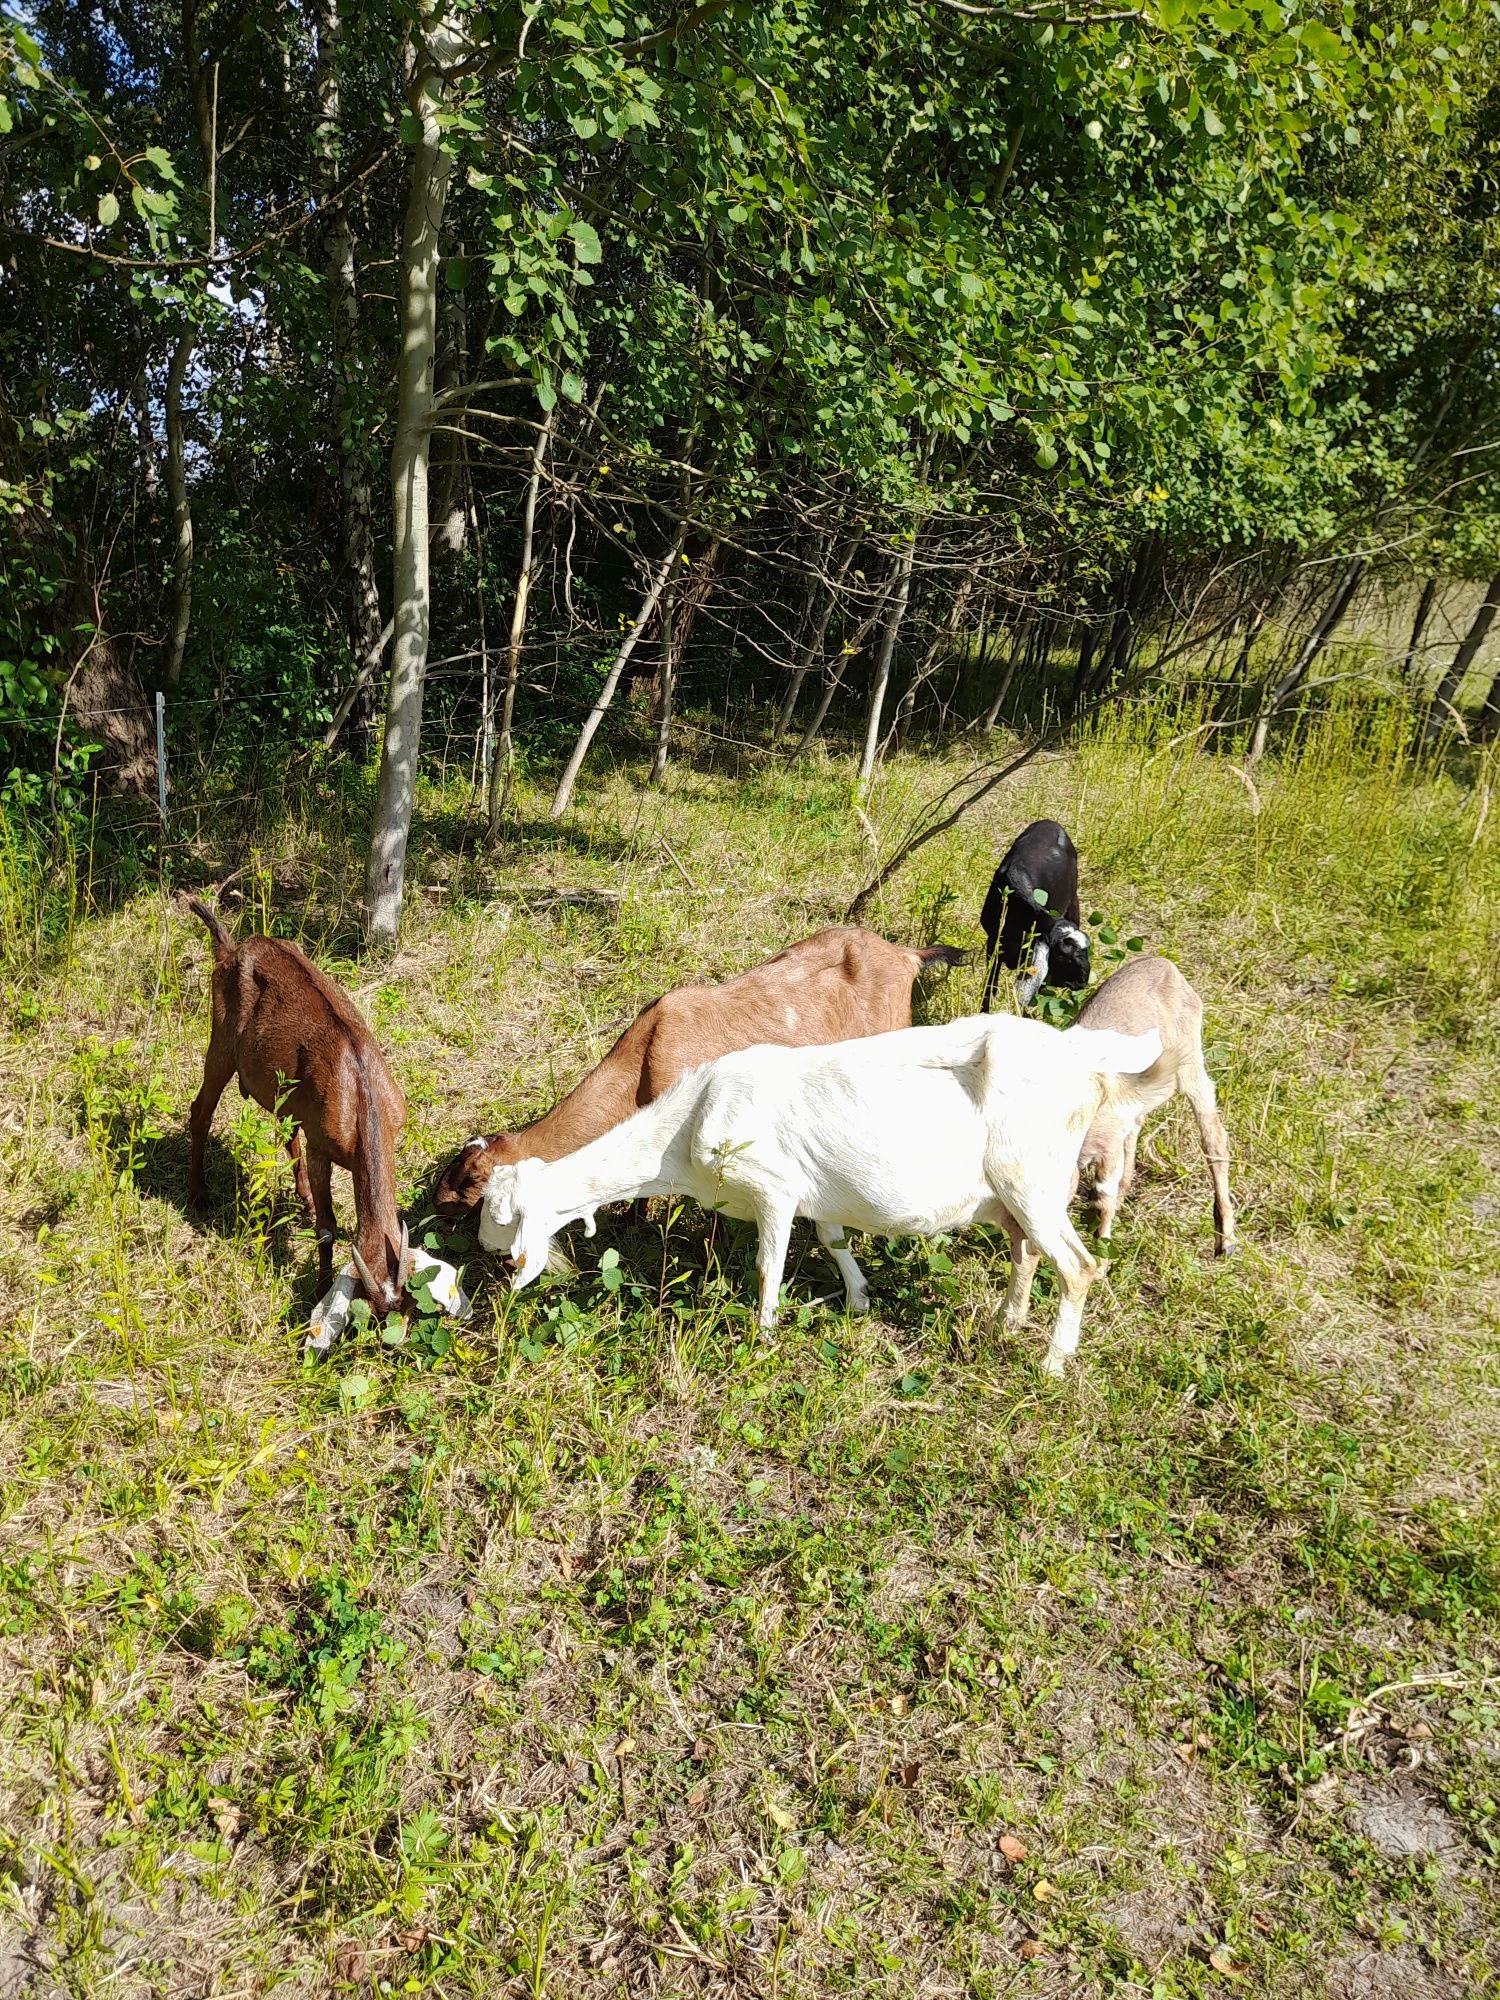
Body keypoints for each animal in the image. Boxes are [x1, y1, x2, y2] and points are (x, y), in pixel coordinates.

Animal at [482, 1016, 1160, 1376]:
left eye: (499, 1215)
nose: (492, 1255)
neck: (690, 1122)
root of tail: (1087, 1063)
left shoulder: (773, 1189)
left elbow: (767, 1266)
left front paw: (762, 1336)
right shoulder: (815, 1197)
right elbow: (833, 1238)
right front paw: (858, 1298)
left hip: (1031, 1177)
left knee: (1078, 1265)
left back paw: (1052, 1361)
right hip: (1010, 1193)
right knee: (1026, 1251)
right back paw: (1006, 1321)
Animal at [1072, 952, 1240, 1248]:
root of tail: (1164, 964)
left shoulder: (1107, 1145)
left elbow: (1103, 1200)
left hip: (1190, 1062)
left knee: (1214, 1135)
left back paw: (1225, 1239)